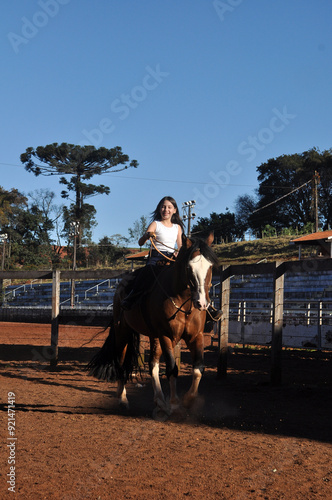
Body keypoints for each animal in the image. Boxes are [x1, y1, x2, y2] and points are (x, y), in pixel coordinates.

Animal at [88, 232, 218, 420]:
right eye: (189, 267)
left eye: (210, 267)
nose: (202, 303)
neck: (183, 301)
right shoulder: (166, 336)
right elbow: (172, 368)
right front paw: (175, 405)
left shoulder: (196, 336)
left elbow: (198, 368)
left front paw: (188, 401)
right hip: (123, 331)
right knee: (121, 362)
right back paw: (123, 399)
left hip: (153, 336)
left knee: (153, 365)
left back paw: (160, 402)